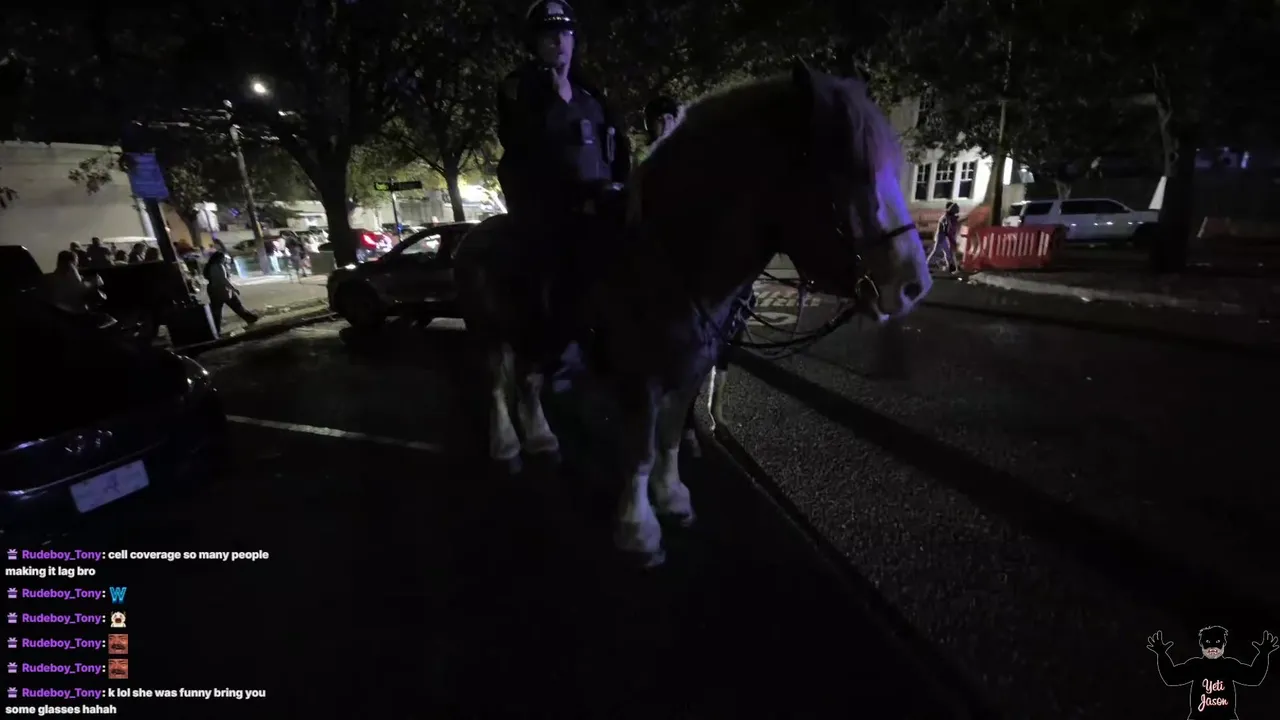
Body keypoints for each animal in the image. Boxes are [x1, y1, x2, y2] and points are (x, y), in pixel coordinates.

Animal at [453, 59, 932, 568]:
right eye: (847, 171)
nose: (913, 285)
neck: (670, 259)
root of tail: (471, 234)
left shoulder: (690, 371)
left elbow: (668, 436)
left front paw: (673, 498)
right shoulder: (640, 380)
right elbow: (641, 450)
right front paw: (638, 530)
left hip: (542, 338)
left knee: (526, 380)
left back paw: (540, 439)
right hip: (489, 334)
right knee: (496, 387)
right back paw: (506, 444)